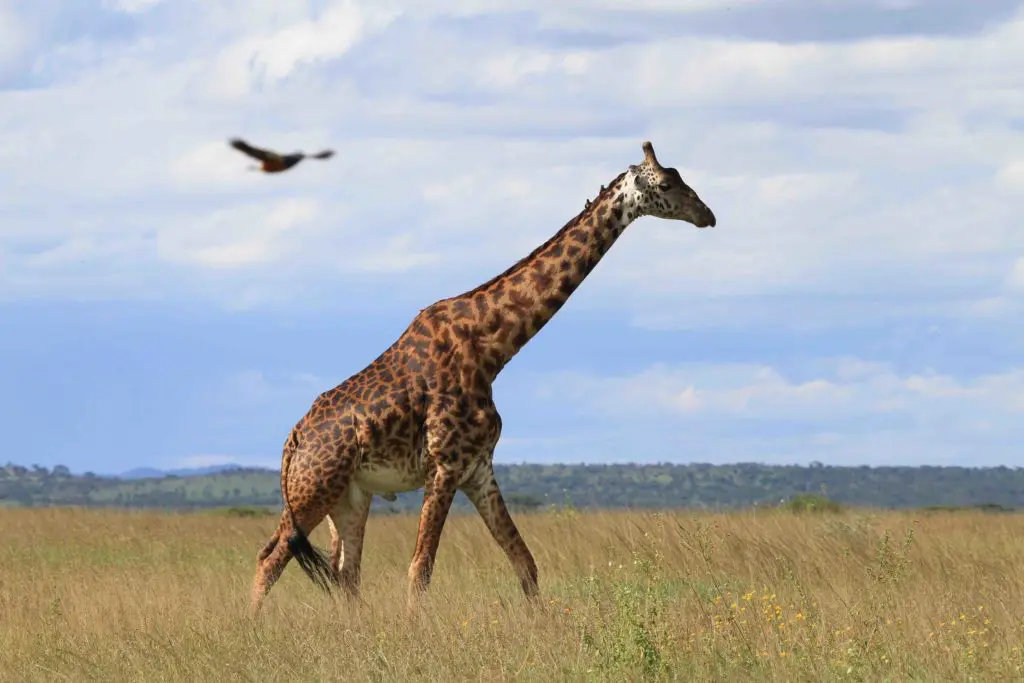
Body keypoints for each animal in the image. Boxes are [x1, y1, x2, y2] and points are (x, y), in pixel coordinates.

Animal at [249, 140, 717, 613]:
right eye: (666, 184)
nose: (707, 214)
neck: (493, 349)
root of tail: (293, 441)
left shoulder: (479, 469)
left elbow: (525, 563)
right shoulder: (445, 464)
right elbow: (421, 568)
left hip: (350, 497)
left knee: (346, 575)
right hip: (314, 489)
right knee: (271, 556)